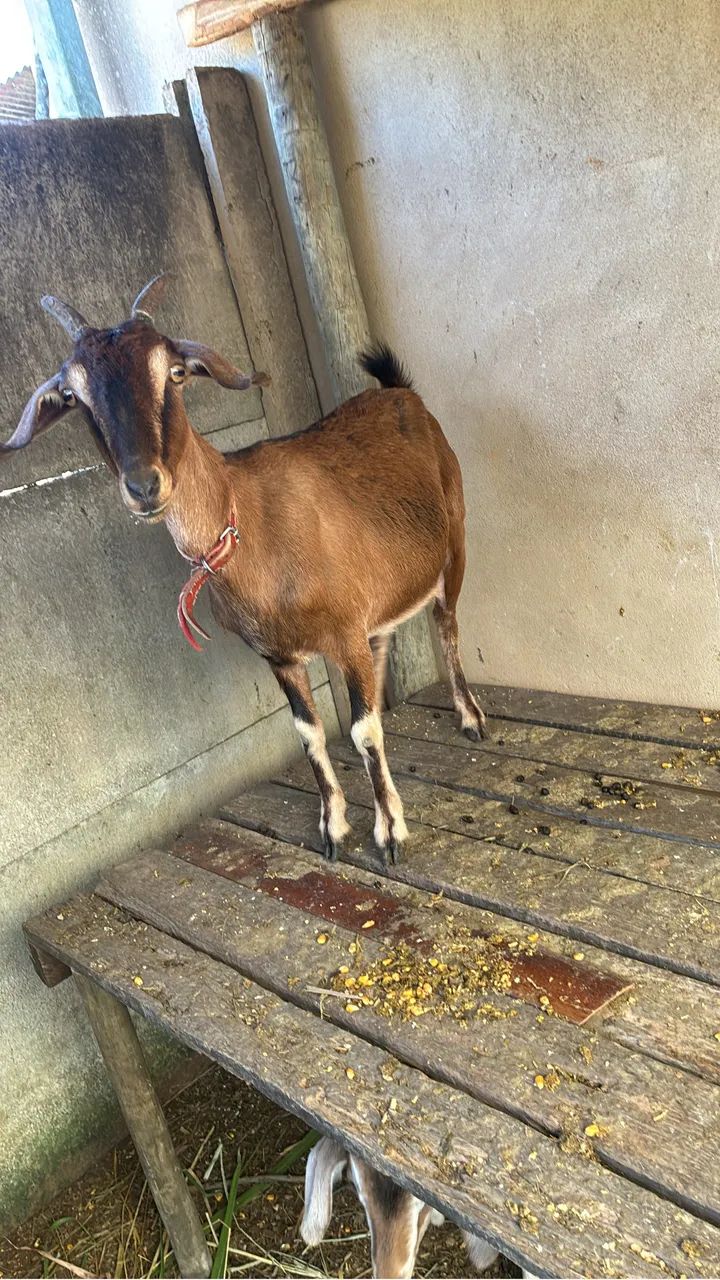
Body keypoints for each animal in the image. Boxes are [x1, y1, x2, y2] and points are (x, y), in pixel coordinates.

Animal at [4, 276, 487, 865]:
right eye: (72, 396)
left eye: (176, 371)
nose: (144, 485)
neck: (247, 521)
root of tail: (399, 392)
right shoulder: (278, 655)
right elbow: (310, 732)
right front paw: (333, 827)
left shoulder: (344, 632)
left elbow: (363, 731)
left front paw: (390, 832)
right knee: (387, 645)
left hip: (455, 537)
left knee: (447, 624)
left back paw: (471, 718)